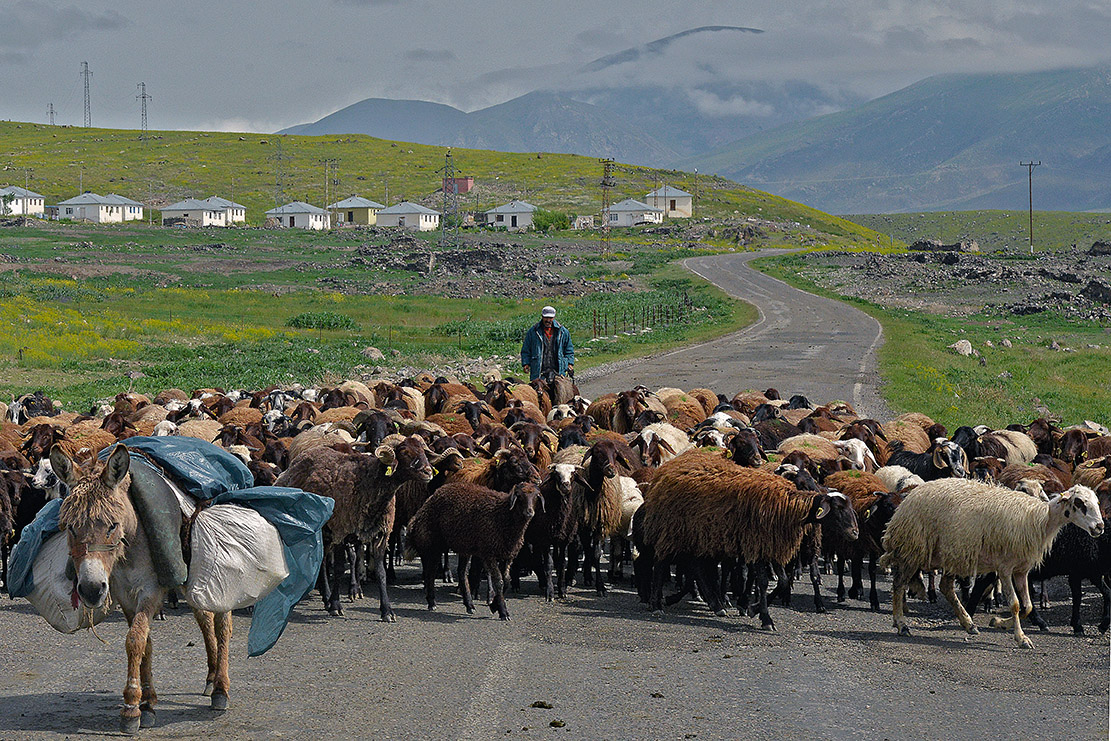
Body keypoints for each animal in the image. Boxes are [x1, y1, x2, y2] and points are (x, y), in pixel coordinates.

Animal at [875, 482, 1102, 644]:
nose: (1100, 527)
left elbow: (1028, 606)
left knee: (946, 587)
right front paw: (1021, 638)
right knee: (899, 584)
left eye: (1097, 503)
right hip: (914, 548)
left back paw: (968, 624)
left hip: (953, 553)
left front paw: (999, 623)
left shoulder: (1021, 570)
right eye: (1079, 502)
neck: (1038, 520)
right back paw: (902, 624)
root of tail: (909, 497)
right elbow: (1015, 604)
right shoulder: (1004, 568)